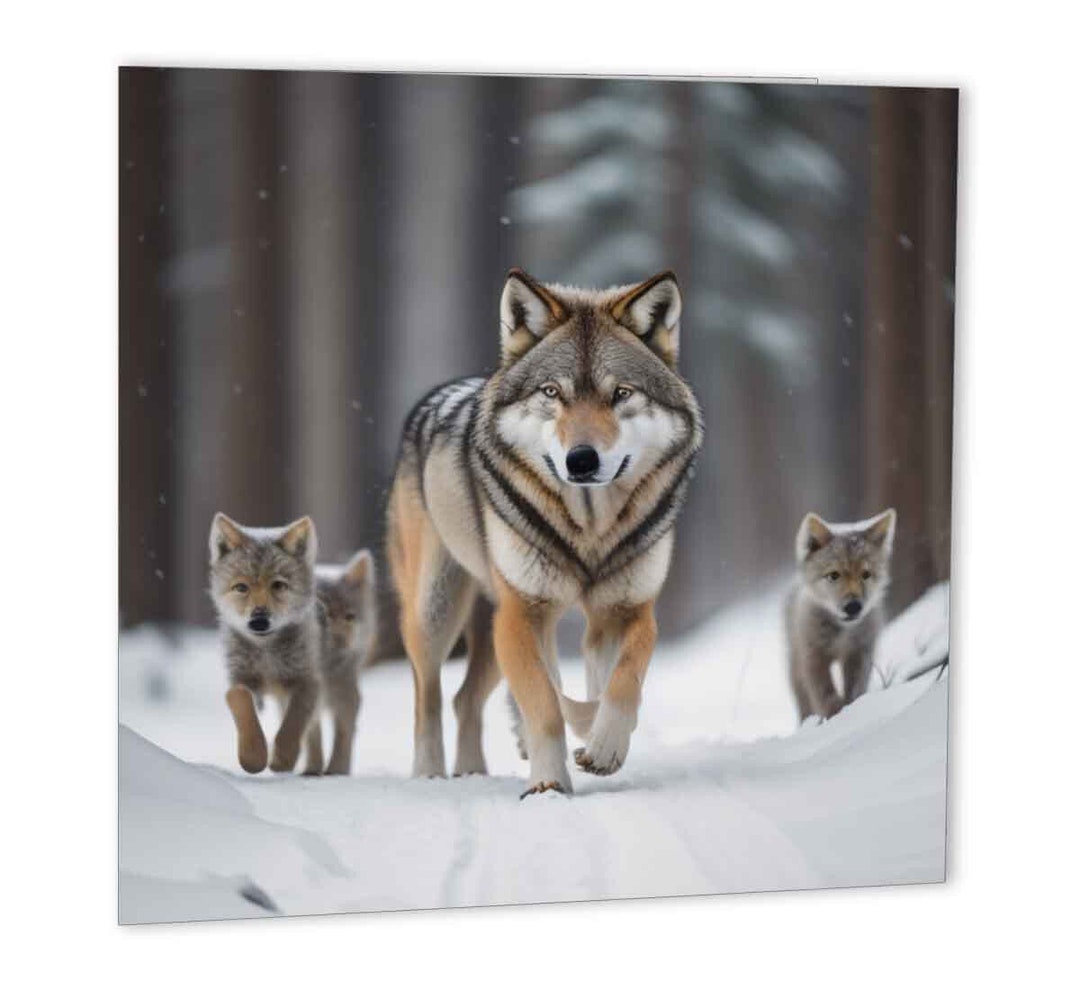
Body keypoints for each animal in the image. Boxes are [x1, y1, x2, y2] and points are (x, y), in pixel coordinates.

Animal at [208, 513, 323, 774]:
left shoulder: (307, 681)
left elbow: (293, 723)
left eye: (278, 585)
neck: (267, 653)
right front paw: (253, 756)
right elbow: (241, 702)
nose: (259, 620)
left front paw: (282, 758)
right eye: (241, 587)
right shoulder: (241, 680)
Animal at [314, 549, 376, 775]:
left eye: (350, 617)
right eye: (324, 615)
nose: (340, 639)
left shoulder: (347, 695)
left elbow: (343, 736)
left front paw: (336, 771)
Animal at [386, 268, 703, 796]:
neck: (588, 530)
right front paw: (550, 783)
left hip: (491, 628)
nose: (582, 460)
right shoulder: (523, 613)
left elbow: (622, 682)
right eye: (553, 393)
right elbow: (546, 705)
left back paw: (475, 769)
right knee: (427, 697)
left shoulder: (627, 610)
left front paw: (602, 746)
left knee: (465, 699)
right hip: (437, 611)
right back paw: (431, 776)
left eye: (621, 393)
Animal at [785, 508, 897, 721]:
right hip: (794, 664)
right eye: (834, 575)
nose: (853, 607)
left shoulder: (860, 652)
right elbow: (824, 691)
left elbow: (855, 688)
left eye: (866, 574)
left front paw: (851, 709)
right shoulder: (813, 655)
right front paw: (833, 714)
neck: (842, 632)